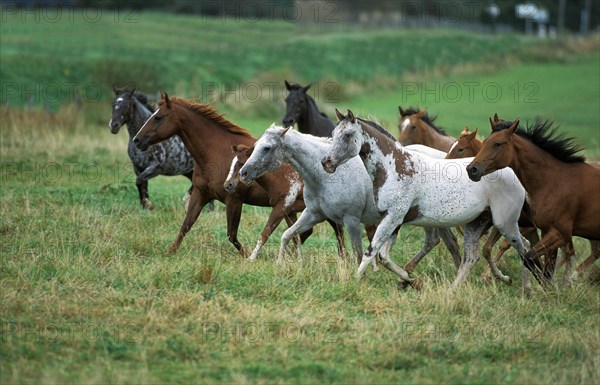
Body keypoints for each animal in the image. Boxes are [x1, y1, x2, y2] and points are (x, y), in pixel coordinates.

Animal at [324, 109, 528, 288]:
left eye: (347, 135)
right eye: (333, 133)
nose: (326, 162)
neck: (395, 167)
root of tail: (512, 174)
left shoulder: (393, 218)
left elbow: (371, 252)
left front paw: (355, 282)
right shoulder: (393, 221)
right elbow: (384, 257)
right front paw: (412, 281)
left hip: (504, 223)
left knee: (522, 248)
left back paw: (525, 287)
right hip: (477, 224)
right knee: (475, 256)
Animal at [468, 115, 600, 282]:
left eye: (497, 144)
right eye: (484, 142)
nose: (471, 169)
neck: (555, 181)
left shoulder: (559, 233)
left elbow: (529, 258)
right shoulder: (546, 231)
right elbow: (544, 267)